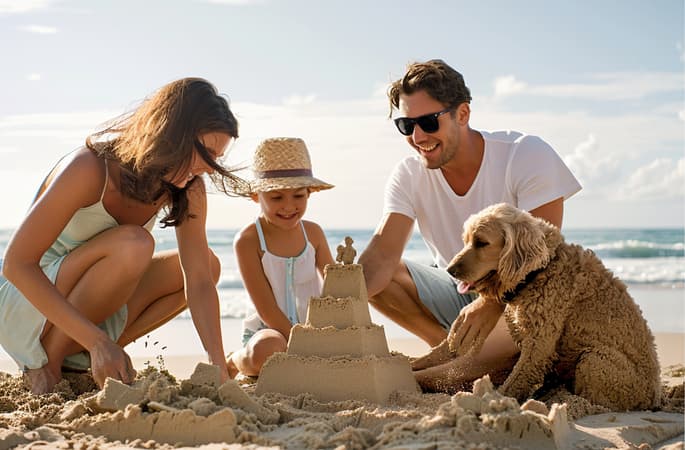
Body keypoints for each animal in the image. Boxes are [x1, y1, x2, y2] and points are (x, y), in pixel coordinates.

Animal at [412, 204, 656, 412]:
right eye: (466, 240)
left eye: (481, 242)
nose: (450, 270)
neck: (540, 270)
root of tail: (655, 396)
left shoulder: (538, 345)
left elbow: (515, 381)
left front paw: (497, 402)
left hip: (595, 360)